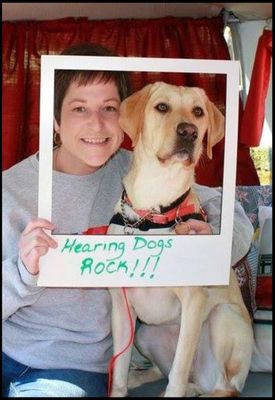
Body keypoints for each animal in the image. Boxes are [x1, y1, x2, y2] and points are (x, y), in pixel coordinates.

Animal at [108, 82, 254, 396]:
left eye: (198, 112)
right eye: (162, 107)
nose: (189, 132)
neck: (153, 210)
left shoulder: (194, 301)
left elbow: (178, 370)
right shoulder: (121, 308)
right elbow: (119, 371)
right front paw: (122, 384)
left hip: (222, 316)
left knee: (220, 387)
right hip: (147, 333)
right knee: (166, 373)